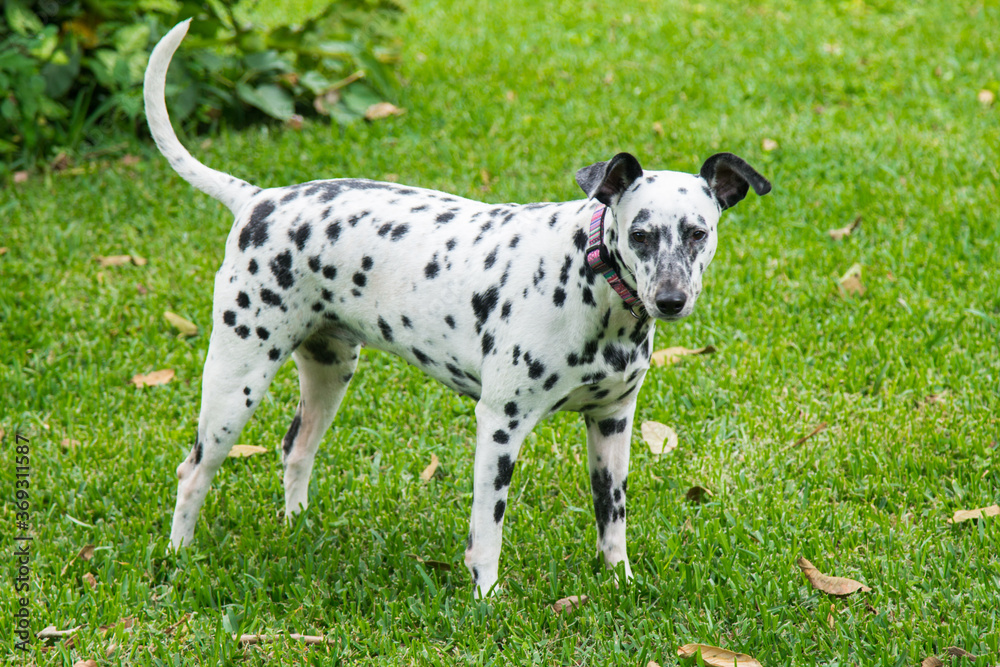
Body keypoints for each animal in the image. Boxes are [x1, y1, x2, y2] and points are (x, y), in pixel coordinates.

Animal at [145, 19, 768, 600]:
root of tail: (258, 200)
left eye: (698, 232)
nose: (671, 300)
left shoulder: (612, 423)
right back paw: (178, 558)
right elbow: (487, 531)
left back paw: (296, 527)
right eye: (640, 233)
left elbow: (610, 520)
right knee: (192, 472)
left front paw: (620, 581)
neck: (589, 286)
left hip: (329, 372)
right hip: (236, 383)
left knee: (296, 450)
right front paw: (486, 597)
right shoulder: (500, 427)